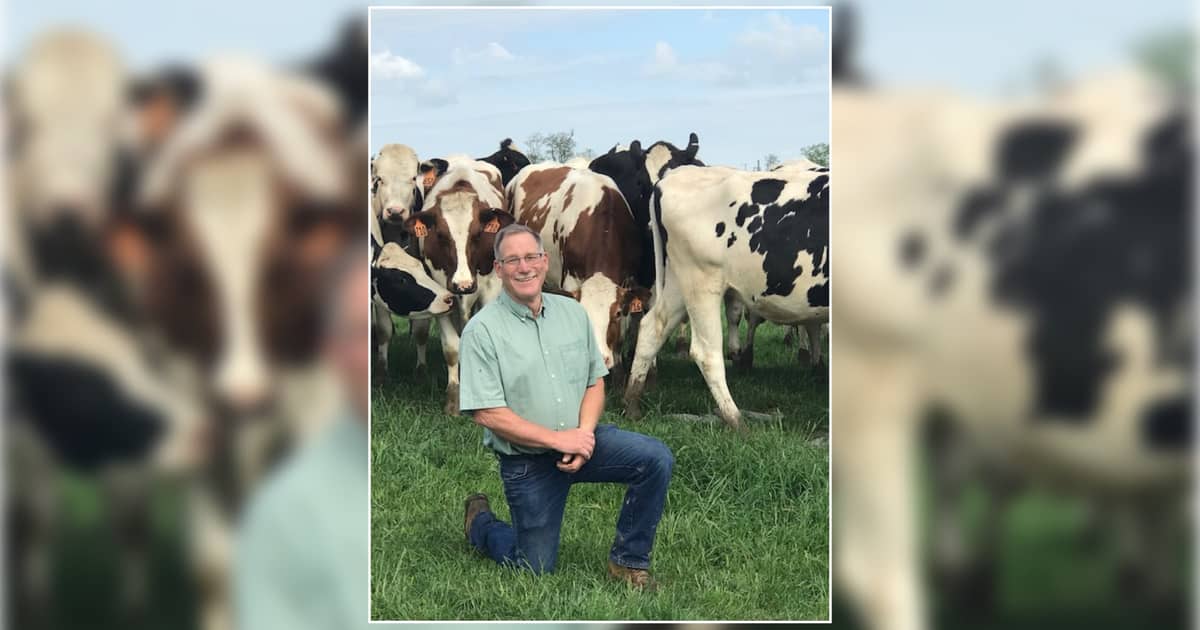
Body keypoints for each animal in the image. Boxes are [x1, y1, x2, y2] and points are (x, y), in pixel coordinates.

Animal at [404, 159, 515, 413]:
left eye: (477, 235)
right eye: (441, 235)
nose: (463, 284)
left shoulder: (490, 288)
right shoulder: (441, 293)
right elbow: (452, 347)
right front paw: (454, 398)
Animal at [623, 164, 830, 430]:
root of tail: (674, 175)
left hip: (679, 282)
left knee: (653, 328)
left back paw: (631, 404)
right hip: (702, 282)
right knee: (706, 352)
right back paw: (736, 420)